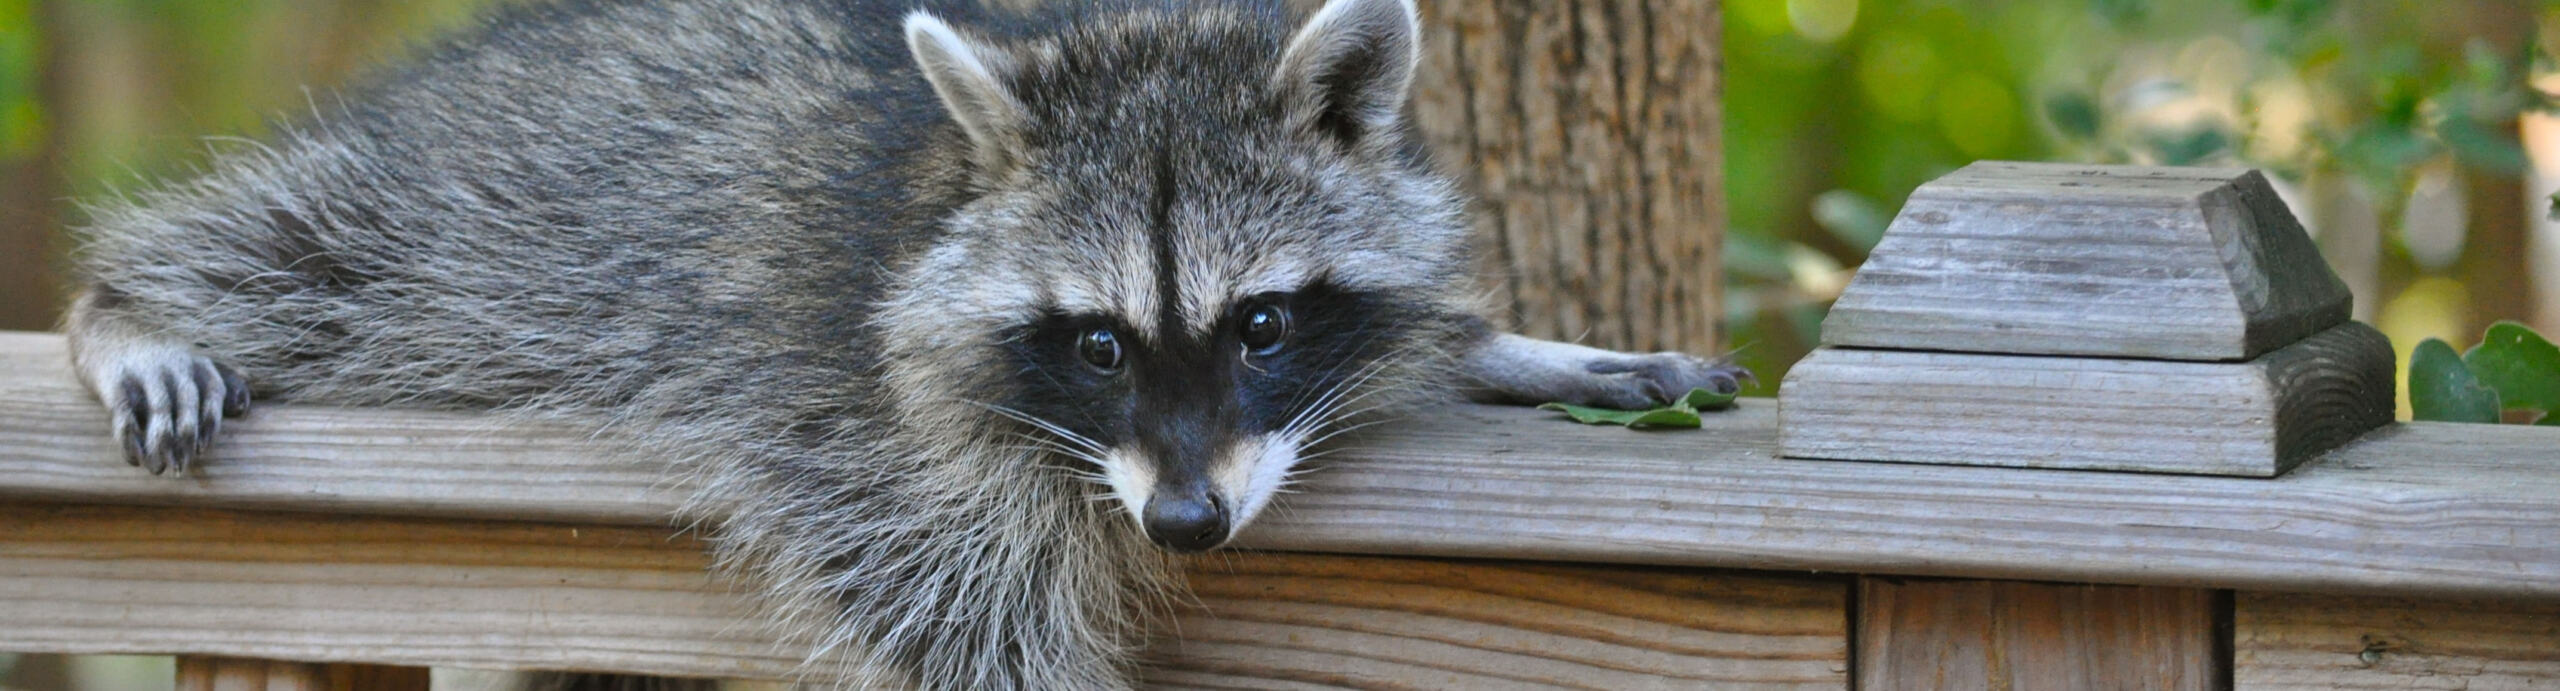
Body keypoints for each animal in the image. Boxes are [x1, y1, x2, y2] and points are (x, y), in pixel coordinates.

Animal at [60, 0, 1751, 685]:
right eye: (1097, 345)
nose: (1188, 522)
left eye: (1263, 323)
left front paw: (1517, 348)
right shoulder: (859, 413)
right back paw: (129, 303)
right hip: (478, 207)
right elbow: (961, 618)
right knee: (317, 250)